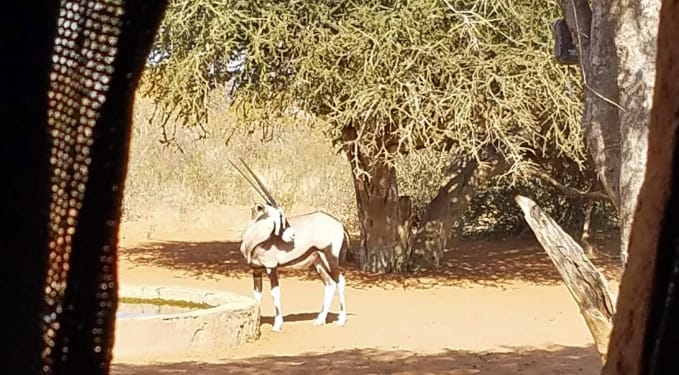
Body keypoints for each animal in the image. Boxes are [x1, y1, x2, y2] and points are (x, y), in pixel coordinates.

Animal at [232, 159, 350, 332]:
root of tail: (339, 224)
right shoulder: (256, 269)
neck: (254, 240)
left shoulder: (271, 268)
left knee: (340, 281)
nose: (292, 235)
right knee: (329, 285)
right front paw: (256, 322)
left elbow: (275, 293)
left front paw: (277, 324)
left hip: (331, 258)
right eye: (280, 216)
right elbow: (256, 295)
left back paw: (341, 319)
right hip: (318, 262)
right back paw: (320, 320)